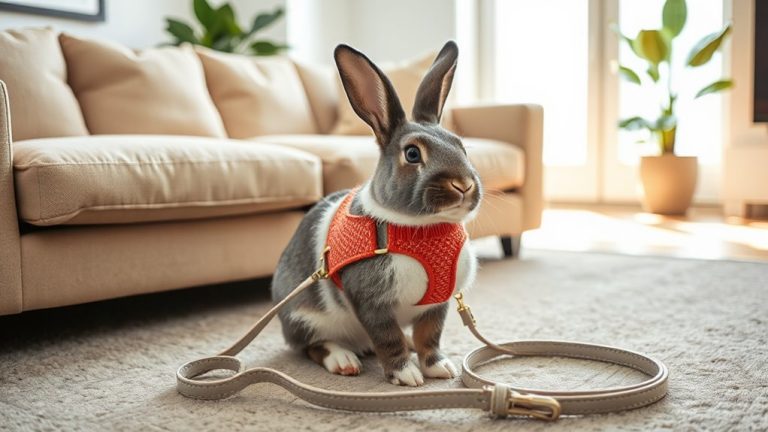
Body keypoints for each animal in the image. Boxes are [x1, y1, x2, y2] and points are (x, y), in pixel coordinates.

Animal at [271, 41, 482, 387]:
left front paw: (438, 367)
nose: (463, 184)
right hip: (305, 317)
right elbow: (387, 338)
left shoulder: (436, 306)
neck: (425, 229)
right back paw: (343, 360)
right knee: (313, 345)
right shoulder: (372, 304)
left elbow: (429, 337)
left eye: (461, 147)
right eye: (412, 153)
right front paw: (406, 374)